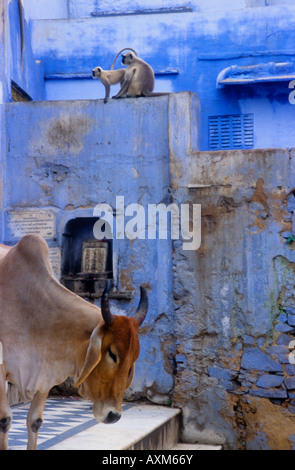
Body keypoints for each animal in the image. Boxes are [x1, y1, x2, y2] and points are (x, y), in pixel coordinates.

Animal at [0, 233, 148, 450]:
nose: (113, 415)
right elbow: (5, 420)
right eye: (112, 354)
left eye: (134, 357)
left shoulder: (45, 375)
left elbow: (35, 422)